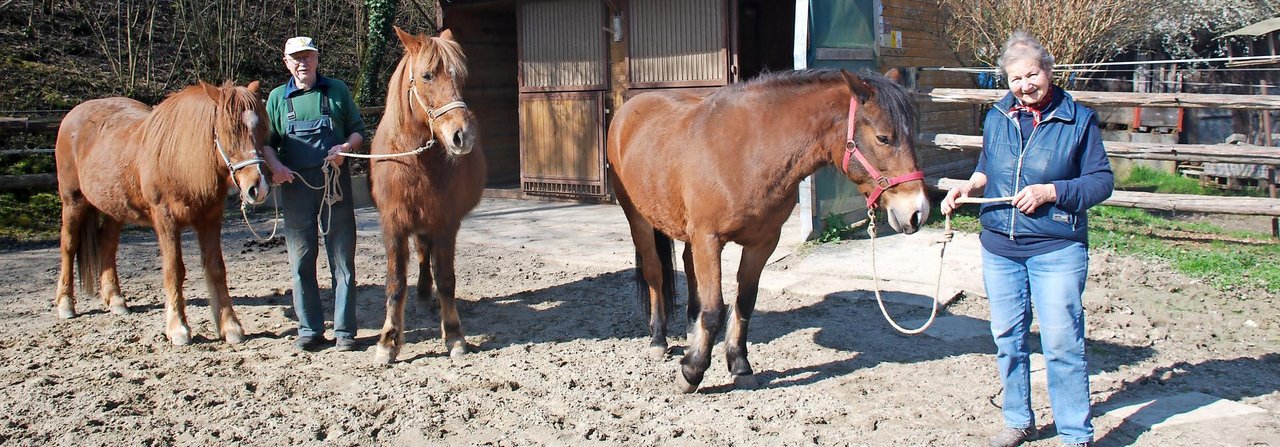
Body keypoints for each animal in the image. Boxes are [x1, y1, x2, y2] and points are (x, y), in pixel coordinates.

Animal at [54, 81, 270, 345]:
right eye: (229, 131)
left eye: (262, 128)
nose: (258, 187)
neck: (178, 161)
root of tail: (73, 114)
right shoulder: (165, 218)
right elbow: (174, 269)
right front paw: (178, 328)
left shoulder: (210, 218)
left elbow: (216, 267)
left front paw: (230, 327)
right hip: (72, 200)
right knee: (69, 244)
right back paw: (66, 304)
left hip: (115, 207)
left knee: (107, 243)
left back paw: (116, 300)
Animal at [373, 26, 488, 361]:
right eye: (426, 76)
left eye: (460, 77)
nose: (462, 136)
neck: (414, 160)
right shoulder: (393, 224)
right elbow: (395, 281)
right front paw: (388, 341)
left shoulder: (445, 223)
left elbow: (447, 278)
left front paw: (454, 336)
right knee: (423, 253)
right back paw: (423, 296)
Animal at [609, 67, 931, 391]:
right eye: (883, 138)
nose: (917, 212)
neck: (748, 152)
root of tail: (628, 110)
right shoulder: (709, 239)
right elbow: (714, 310)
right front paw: (692, 371)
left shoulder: (761, 243)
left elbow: (744, 303)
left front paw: (739, 365)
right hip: (638, 218)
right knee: (654, 273)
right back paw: (658, 340)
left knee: (689, 269)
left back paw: (691, 330)